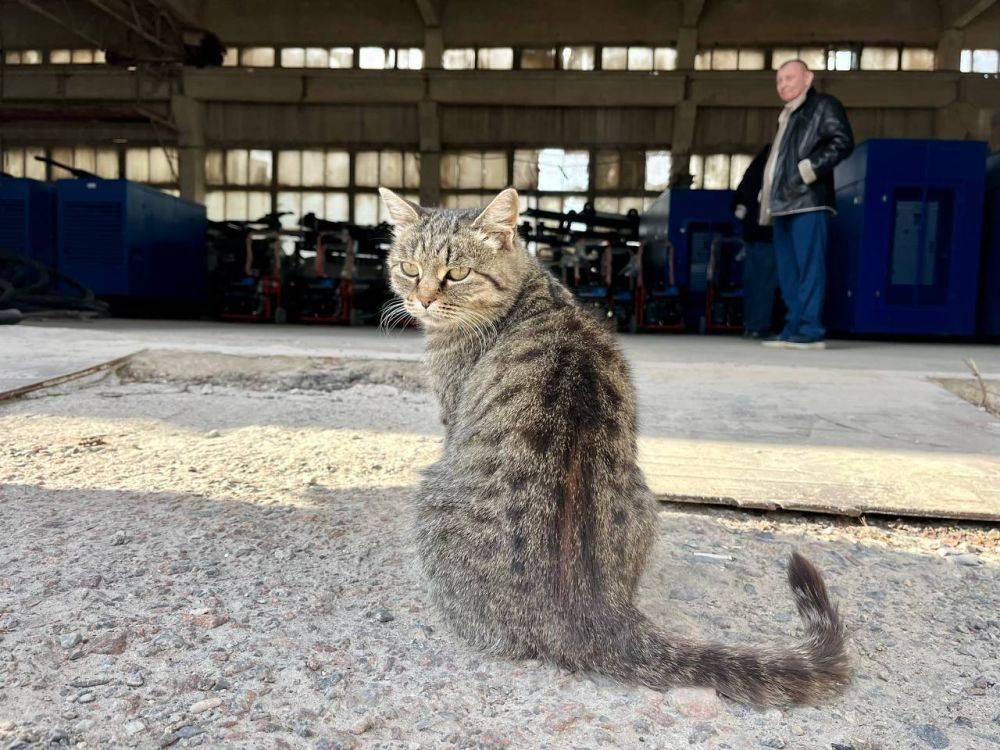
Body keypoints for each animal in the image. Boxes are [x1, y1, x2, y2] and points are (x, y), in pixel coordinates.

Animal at [378, 187, 848, 704]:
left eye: (457, 273)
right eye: (409, 268)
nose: (422, 300)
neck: (534, 291)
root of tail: (592, 611)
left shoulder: (451, 413)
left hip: (430, 498)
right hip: (645, 496)